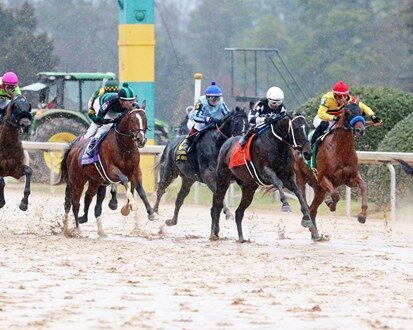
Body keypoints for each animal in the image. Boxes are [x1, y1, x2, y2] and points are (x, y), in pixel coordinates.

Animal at [58, 104, 154, 236]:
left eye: (145, 119)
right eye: (132, 120)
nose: (141, 140)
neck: (124, 147)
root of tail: (73, 148)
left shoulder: (136, 172)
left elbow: (141, 191)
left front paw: (151, 212)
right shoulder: (111, 171)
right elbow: (124, 179)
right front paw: (131, 205)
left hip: (94, 181)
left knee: (87, 197)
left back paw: (89, 225)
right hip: (77, 180)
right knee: (73, 203)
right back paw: (76, 230)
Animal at [209, 113, 322, 242]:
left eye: (307, 128)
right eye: (297, 128)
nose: (308, 153)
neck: (277, 145)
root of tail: (227, 142)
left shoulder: (288, 177)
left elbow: (298, 191)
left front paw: (307, 219)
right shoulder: (264, 172)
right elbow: (277, 182)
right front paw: (285, 204)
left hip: (248, 187)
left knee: (239, 212)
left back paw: (241, 238)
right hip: (223, 180)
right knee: (217, 206)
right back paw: (213, 234)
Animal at [292, 102, 366, 233]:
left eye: (362, 112)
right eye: (348, 113)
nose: (360, 130)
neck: (340, 150)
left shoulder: (350, 178)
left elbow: (363, 186)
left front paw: (362, 215)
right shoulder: (322, 177)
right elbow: (335, 195)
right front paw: (330, 204)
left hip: (318, 188)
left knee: (313, 209)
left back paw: (315, 233)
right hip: (301, 177)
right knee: (305, 202)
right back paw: (307, 221)